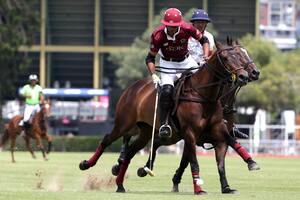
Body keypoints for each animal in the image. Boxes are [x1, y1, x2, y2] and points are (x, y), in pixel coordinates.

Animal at [79, 39, 248, 195]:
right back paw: (87, 164)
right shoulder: (190, 133)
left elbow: (225, 154)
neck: (204, 95)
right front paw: (198, 188)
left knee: (130, 152)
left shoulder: (219, 132)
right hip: (124, 123)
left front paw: (230, 183)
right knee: (107, 139)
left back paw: (120, 184)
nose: (245, 75)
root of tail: (133, 87)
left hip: (146, 131)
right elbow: (193, 161)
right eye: (226, 58)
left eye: (243, 56)